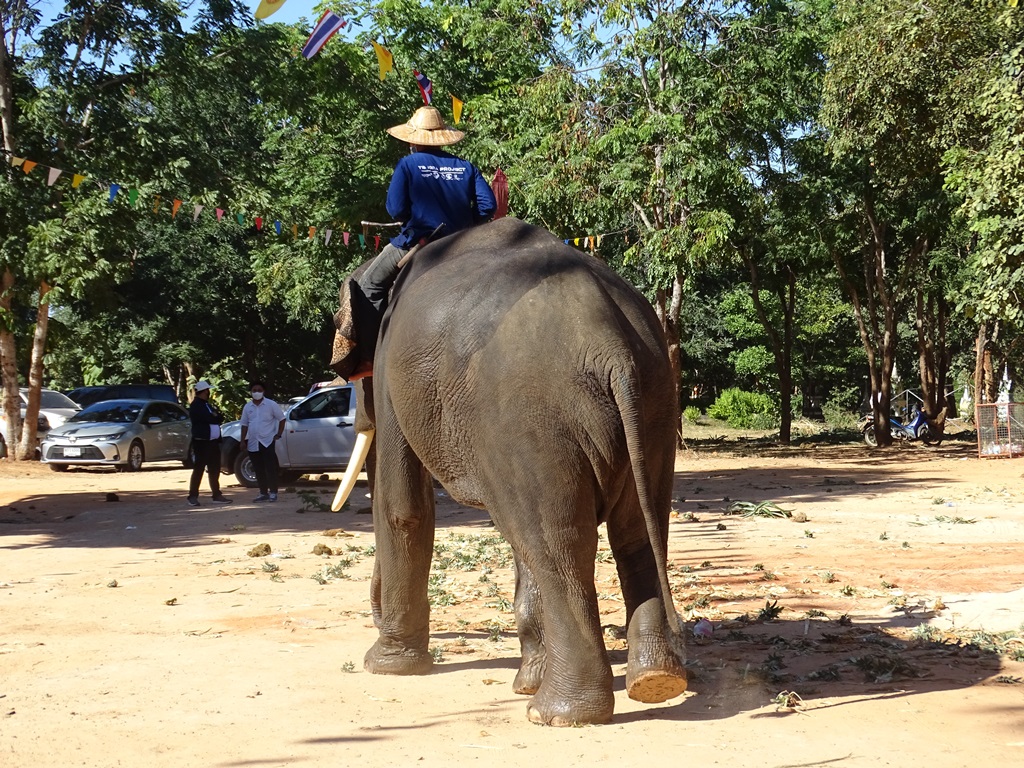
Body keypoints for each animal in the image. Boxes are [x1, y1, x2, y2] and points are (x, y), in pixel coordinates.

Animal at [331, 218, 688, 729]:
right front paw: (527, 680)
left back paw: (556, 714)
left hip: (534, 415)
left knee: (558, 543)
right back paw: (655, 682)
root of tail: (613, 347)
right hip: (654, 401)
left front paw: (385, 667)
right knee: (632, 529)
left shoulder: (389, 370)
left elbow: (403, 505)